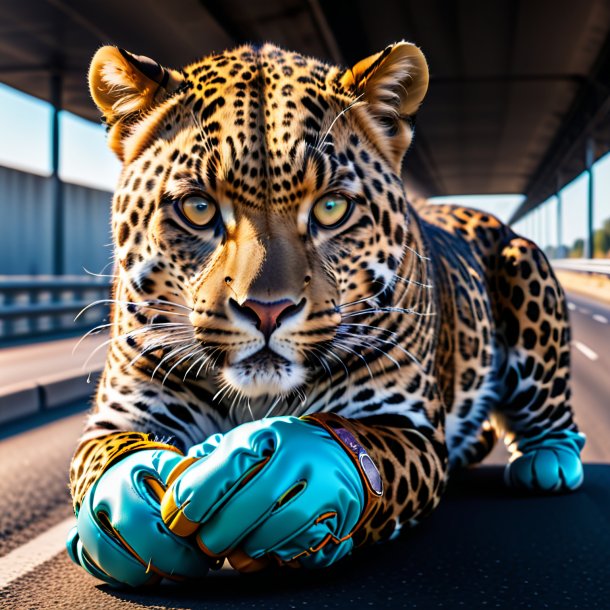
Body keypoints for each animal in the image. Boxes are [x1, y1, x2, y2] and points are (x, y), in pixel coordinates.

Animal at [69, 41, 580, 564]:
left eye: (331, 208)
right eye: (198, 208)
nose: (267, 310)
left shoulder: (408, 424)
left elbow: (358, 449)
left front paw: (299, 474)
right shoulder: (122, 412)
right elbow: (106, 460)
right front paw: (128, 511)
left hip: (525, 267)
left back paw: (549, 460)